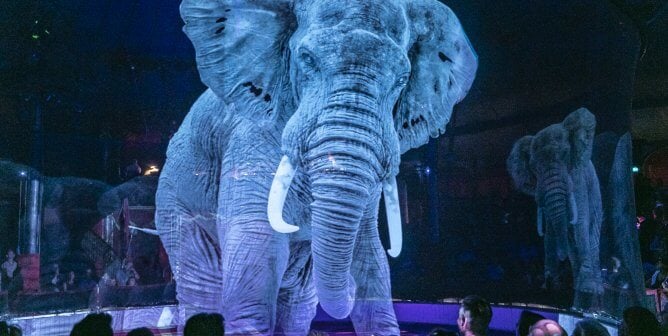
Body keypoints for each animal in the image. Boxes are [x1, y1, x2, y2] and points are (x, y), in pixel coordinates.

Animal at [155, 0, 480, 334]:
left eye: (402, 79)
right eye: (307, 59)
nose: (349, 288)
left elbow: (370, 254)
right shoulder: (248, 138)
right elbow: (256, 242)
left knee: (296, 304)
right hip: (175, 200)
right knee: (203, 287)